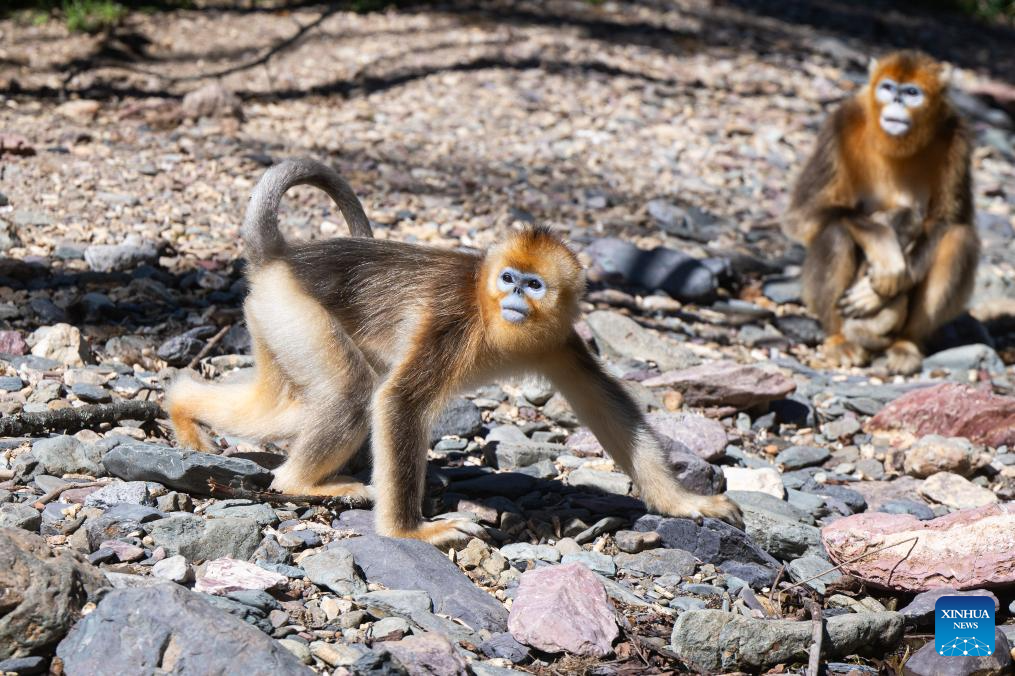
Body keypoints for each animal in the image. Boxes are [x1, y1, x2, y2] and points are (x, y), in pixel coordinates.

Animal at [164, 155, 738, 544]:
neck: (490, 317)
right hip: (292, 310)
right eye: (507, 278)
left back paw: (182, 407)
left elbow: (610, 410)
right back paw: (302, 483)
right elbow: (398, 402)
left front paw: (685, 502)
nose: (513, 296)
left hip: (271, 320)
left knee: (285, 407)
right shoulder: (453, 322)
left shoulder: (559, 341)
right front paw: (410, 533)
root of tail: (281, 259)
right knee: (353, 393)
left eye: (533, 285)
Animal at [779, 49, 978, 371]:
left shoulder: (957, 136)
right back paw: (839, 339)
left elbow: (946, 221)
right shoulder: (840, 123)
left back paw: (907, 343)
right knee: (835, 231)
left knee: (959, 239)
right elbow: (803, 215)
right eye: (887, 88)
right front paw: (884, 250)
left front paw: (877, 292)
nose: (896, 100)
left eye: (911, 93)